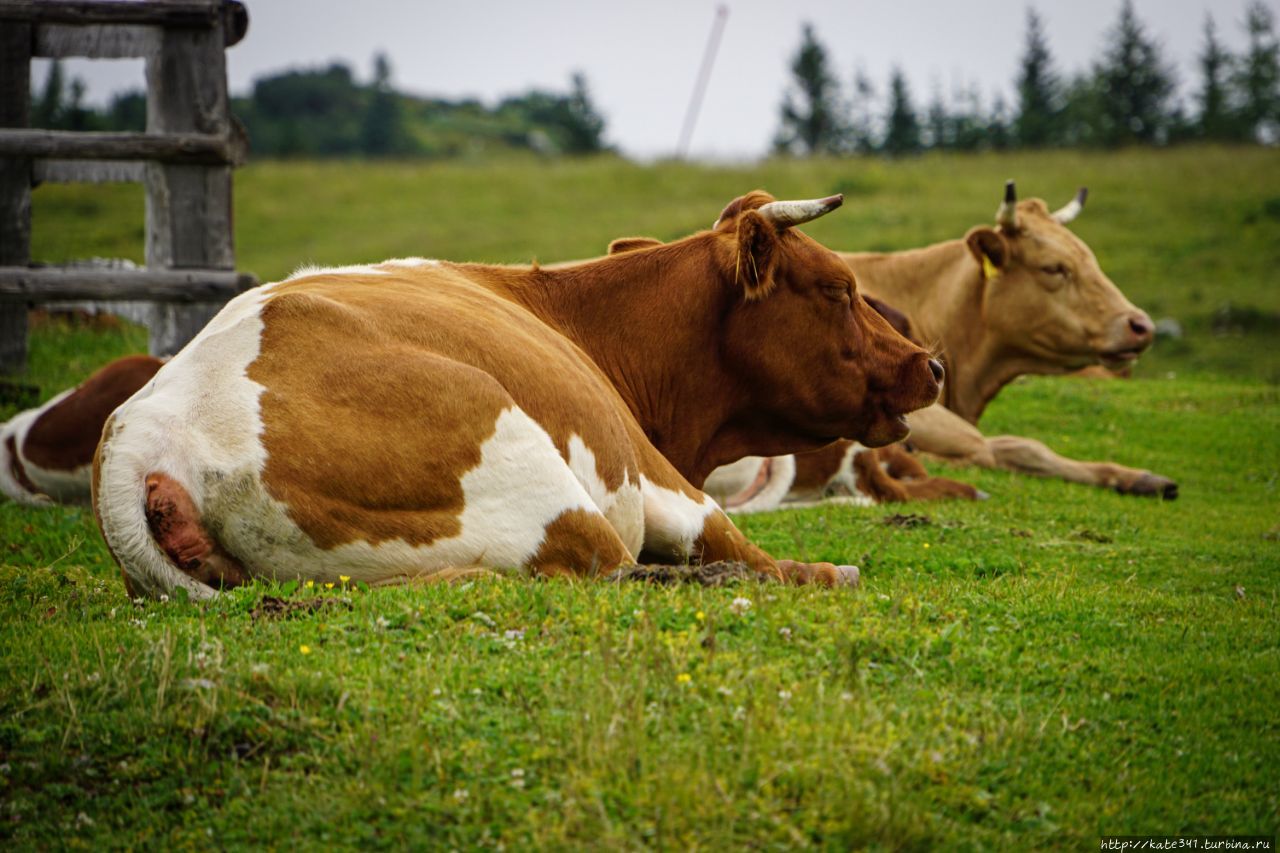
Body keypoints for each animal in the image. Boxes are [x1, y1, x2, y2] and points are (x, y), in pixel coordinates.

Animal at [90, 190, 947, 596]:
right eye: (839, 288)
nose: (932, 364)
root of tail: (146, 426)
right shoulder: (656, 474)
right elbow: (742, 542)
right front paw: (830, 571)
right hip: (532, 471)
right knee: (621, 571)